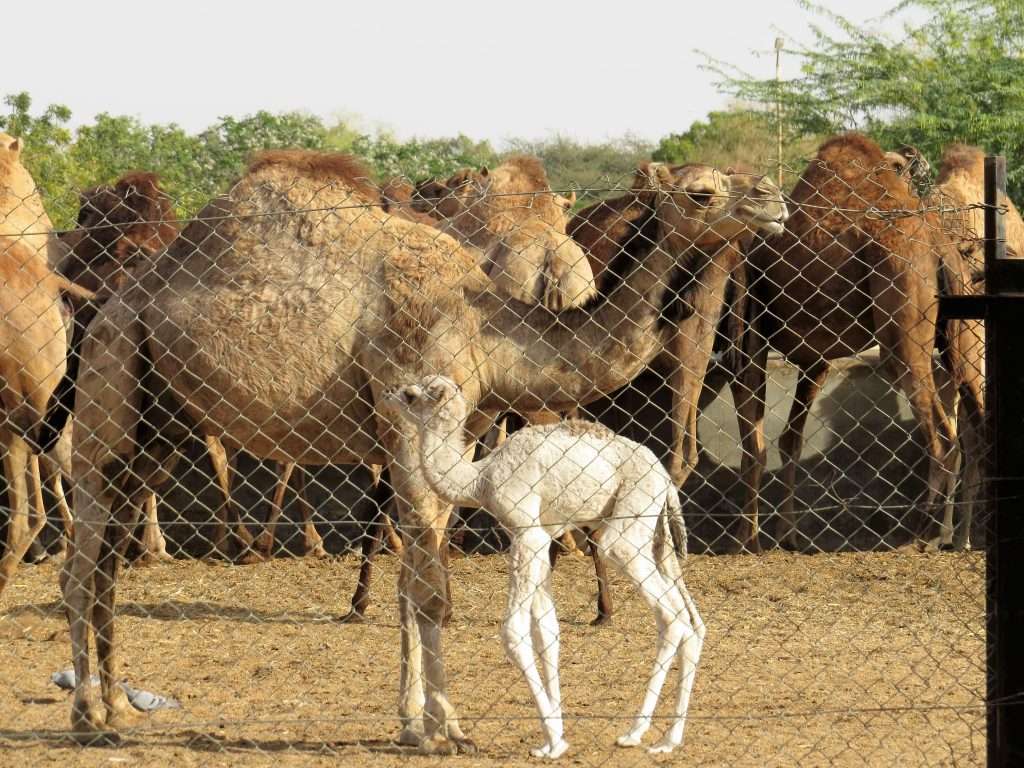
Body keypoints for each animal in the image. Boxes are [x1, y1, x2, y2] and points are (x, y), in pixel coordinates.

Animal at [387, 375, 702, 758]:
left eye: (411, 395)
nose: (389, 394)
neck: (481, 478)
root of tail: (663, 477)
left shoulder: (528, 535)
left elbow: (515, 631)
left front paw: (552, 742)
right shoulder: (540, 538)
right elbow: (548, 631)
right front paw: (557, 736)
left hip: (627, 526)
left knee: (670, 615)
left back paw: (636, 734)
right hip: (656, 533)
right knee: (689, 619)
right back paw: (665, 738)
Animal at [729, 133, 984, 552]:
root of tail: (940, 248)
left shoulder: (748, 340)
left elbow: (754, 448)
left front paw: (746, 540)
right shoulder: (815, 358)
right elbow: (790, 440)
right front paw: (788, 535)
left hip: (903, 335)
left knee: (944, 439)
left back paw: (920, 533)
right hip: (959, 340)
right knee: (975, 427)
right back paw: (955, 536)